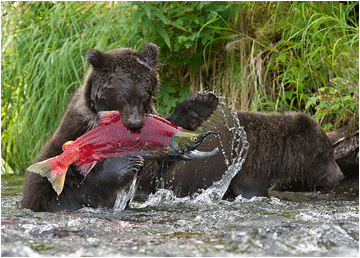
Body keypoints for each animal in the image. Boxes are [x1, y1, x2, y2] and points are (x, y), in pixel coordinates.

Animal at [21, 42, 218, 212]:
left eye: (145, 96)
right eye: (123, 97)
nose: (135, 123)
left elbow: (155, 175)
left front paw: (200, 104)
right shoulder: (72, 136)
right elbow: (69, 192)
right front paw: (123, 162)